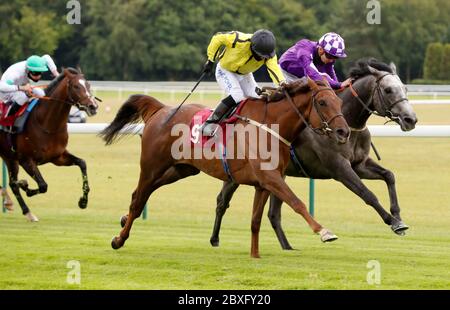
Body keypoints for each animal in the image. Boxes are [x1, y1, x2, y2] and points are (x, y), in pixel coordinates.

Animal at [0, 69, 98, 222]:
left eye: (88, 84)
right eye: (76, 86)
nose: (93, 106)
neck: (46, 123)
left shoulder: (58, 157)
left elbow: (82, 163)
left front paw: (83, 201)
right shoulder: (26, 160)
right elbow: (43, 185)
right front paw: (24, 184)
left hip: (9, 157)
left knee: (12, 183)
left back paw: (26, 211)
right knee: (13, 184)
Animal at [103, 78, 352, 258]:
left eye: (339, 102)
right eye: (322, 103)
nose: (344, 132)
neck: (270, 126)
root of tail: (162, 109)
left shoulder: (263, 184)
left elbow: (255, 221)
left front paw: (255, 255)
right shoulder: (271, 178)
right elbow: (297, 202)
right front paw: (324, 232)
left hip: (181, 169)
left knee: (139, 194)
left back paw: (123, 220)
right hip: (152, 166)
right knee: (138, 201)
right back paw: (119, 239)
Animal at [211, 57, 418, 248]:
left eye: (405, 89)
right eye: (388, 90)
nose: (411, 119)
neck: (347, 122)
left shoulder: (359, 164)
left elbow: (389, 175)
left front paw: (398, 217)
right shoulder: (339, 168)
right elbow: (367, 194)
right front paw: (392, 221)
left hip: (278, 175)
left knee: (273, 214)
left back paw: (288, 247)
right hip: (240, 172)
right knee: (222, 201)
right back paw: (214, 239)